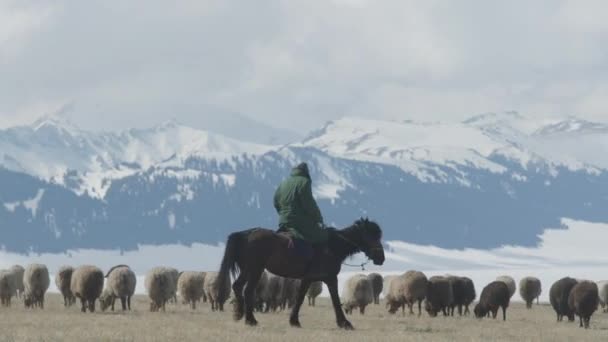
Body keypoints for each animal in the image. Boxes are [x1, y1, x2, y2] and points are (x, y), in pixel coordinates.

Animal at [216, 218, 382, 330]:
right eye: (371, 235)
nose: (381, 258)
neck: (331, 247)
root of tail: (246, 234)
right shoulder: (330, 278)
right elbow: (335, 300)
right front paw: (345, 323)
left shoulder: (308, 279)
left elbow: (300, 298)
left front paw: (294, 321)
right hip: (255, 269)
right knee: (248, 291)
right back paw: (250, 320)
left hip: (248, 270)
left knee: (237, 286)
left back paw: (239, 313)